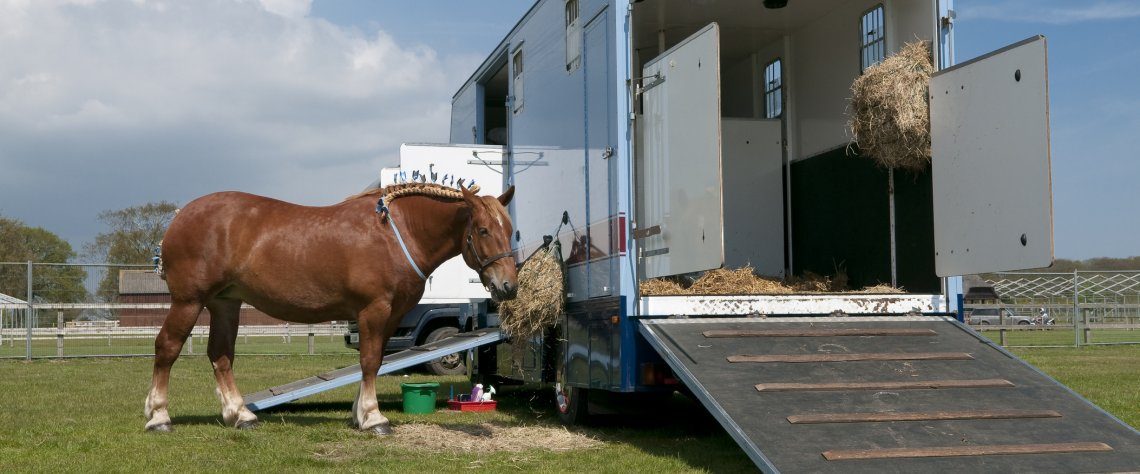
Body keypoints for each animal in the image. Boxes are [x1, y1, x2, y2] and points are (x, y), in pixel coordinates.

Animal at [143, 183, 517, 435]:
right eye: (483, 230)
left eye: (510, 230)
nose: (508, 286)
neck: (397, 235)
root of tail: (180, 217)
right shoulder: (373, 310)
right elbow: (369, 361)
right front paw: (373, 418)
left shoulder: (391, 315)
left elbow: (375, 361)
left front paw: (359, 414)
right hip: (189, 301)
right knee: (167, 348)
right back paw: (159, 417)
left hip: (225, 303)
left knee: (221, 355)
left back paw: (240, 415)